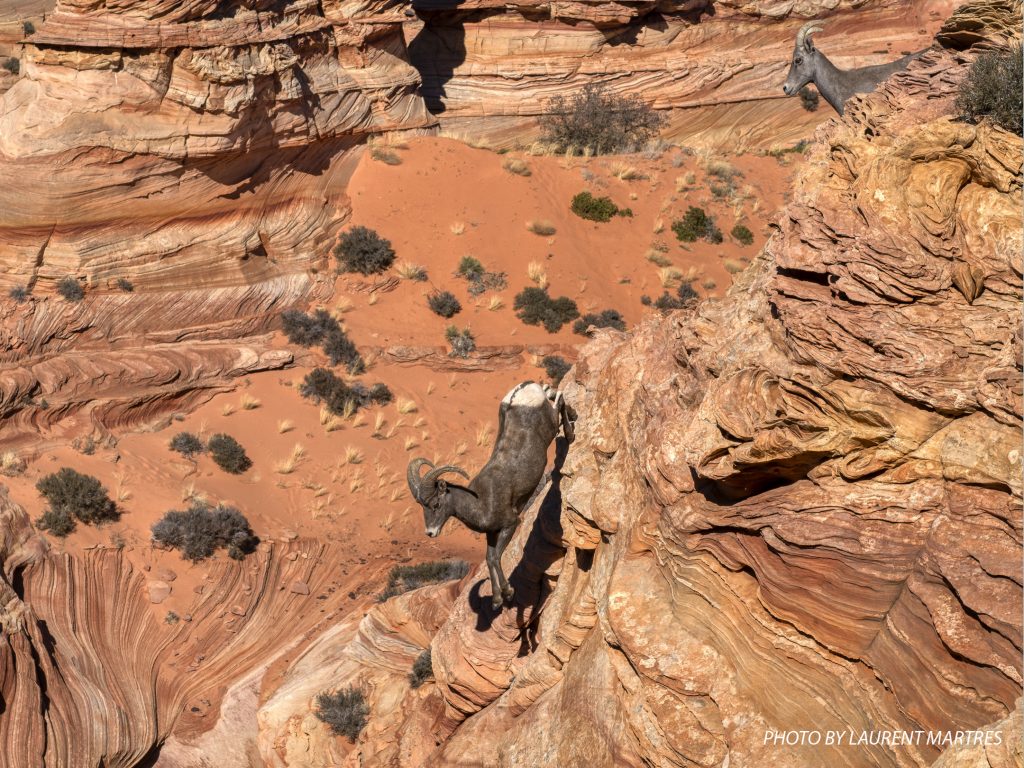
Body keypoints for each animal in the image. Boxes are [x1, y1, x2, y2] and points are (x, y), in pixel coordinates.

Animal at [407, 382, 573, 610]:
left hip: (551, 425)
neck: (480, 502)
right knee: (554, 393)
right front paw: (496, 600)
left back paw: (571, 434)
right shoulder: (491, 533)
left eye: (436, 504)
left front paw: (508, 592)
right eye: (421, 505)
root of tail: (523, 391)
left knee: (560, 401)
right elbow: (489, 557)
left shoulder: (510, 524)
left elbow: (494, 559)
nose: (430, 533)